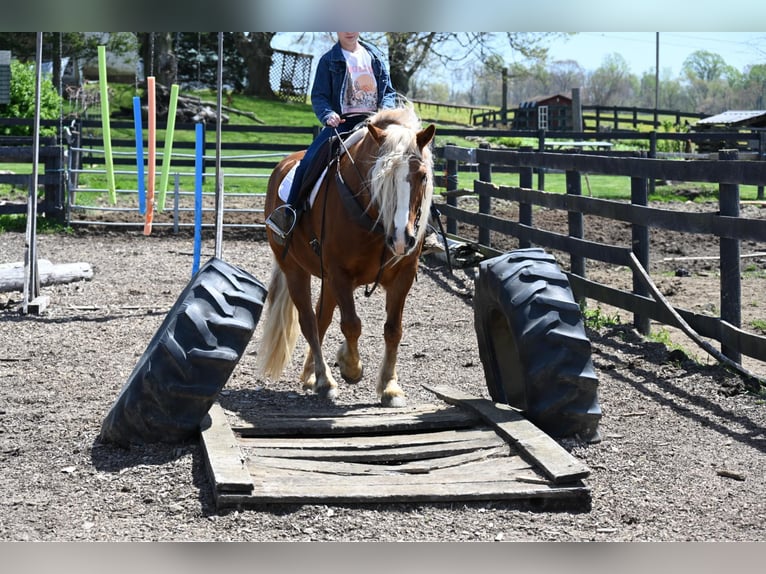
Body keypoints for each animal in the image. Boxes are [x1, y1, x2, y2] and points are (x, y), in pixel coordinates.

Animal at [256, 106, 436, 408]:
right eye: (380, 176)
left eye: (422, 175)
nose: (402, 239)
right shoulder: (339, 273)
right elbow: (351, 324)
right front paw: (350, 367)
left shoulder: (403, 276)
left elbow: (393, 330)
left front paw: (390, 387)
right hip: (295, 270)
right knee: (309, 321)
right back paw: (325, 380)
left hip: (326, 280)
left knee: (321, 319)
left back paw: (312, 375)